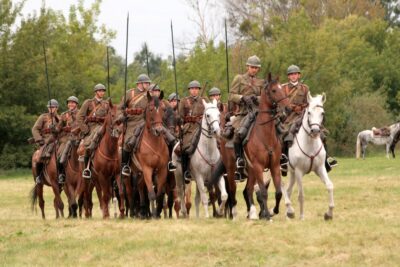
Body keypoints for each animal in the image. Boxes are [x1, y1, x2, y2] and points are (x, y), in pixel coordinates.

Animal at [282, 93, 336, 221]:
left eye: (322, 113)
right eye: (309, 112)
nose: (315, 131)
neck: (310, 143)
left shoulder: (320, 168)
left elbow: (330, 186)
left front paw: (329, 213)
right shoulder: (299, 171)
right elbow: (301, 194)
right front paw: (302, 217)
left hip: (291, 173)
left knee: (288, 190)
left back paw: (288, 213)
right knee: (280, 186)